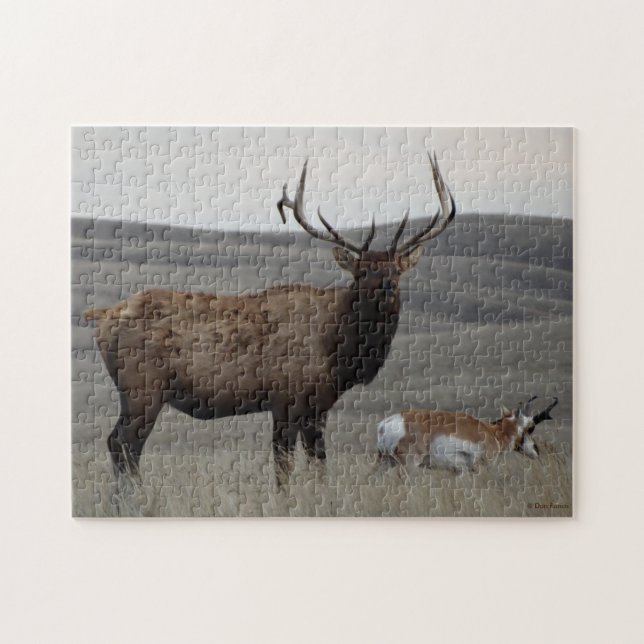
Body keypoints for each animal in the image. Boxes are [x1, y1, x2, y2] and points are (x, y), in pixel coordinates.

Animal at [84, 153, 456, 486]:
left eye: (396, 270)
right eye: (361, 271)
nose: (386, 288)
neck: (340, 351)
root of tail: (102, 316)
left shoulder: (318, 408)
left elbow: (320, 468)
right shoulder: (285, 399)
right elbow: (283, 469)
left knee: (120, 445)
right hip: (142, 388)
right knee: (122, 444)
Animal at [377, 396, 559, 472]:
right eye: (531, 427)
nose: (537, 451)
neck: (492, 432)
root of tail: (386, 424)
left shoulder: (460, 471)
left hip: (385, 463)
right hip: (409, 465)